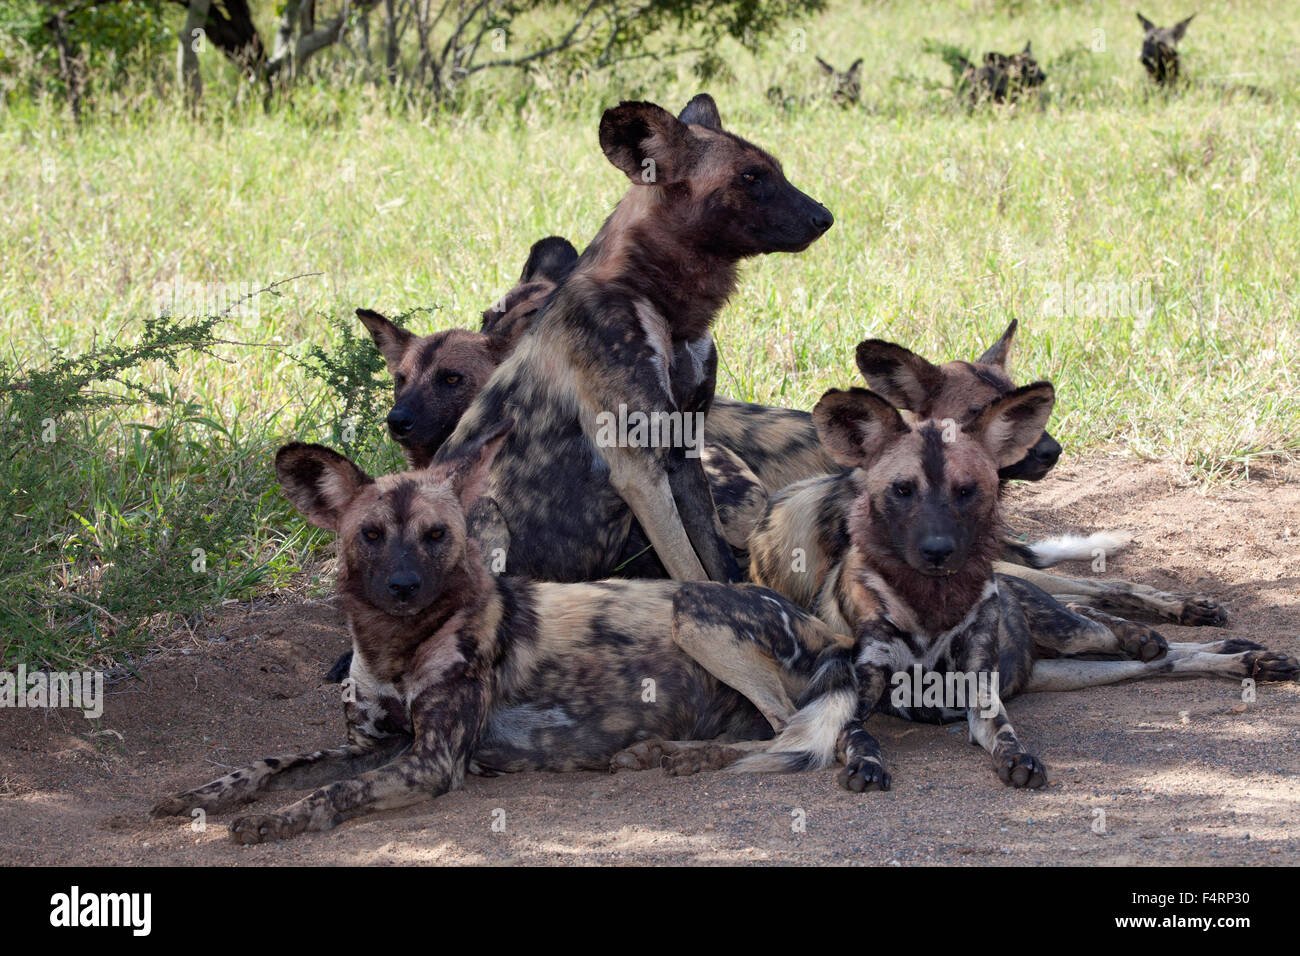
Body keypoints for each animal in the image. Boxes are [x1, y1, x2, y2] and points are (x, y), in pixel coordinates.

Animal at [147, 421, 847, 842]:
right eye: (370, 535)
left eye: (437, 535)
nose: (403, 586)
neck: (395, 647)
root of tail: (825, 629)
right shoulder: (373, 745)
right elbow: (270, 763)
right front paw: (200, 796)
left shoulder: (430, 761)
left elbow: (334, 790)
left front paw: (282, 819)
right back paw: (663, 751)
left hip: (694, 611)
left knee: (787, 727)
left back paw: (683, 756)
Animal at [426, 93, 832, 582]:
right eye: (751, 177)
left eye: (776, 171)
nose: (825, 217)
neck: (664, 308)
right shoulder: (639, 472)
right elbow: (691, 571)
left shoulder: (685, 453)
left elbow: (718, 562)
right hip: (480, 515)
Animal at [733, 382, 1300, 790]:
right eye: (902, 490)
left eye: (967, 491)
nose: (938, 549)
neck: (930, 602)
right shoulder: (855, 700)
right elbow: (860, 737)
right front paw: (867, 766)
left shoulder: (983, 702)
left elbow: (1006, 737)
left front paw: (1020, 759)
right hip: (1071, 667)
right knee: (1164, 659)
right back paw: (1241, 657)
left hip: (1067, 634)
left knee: (1108, 625)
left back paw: (1192, 642)